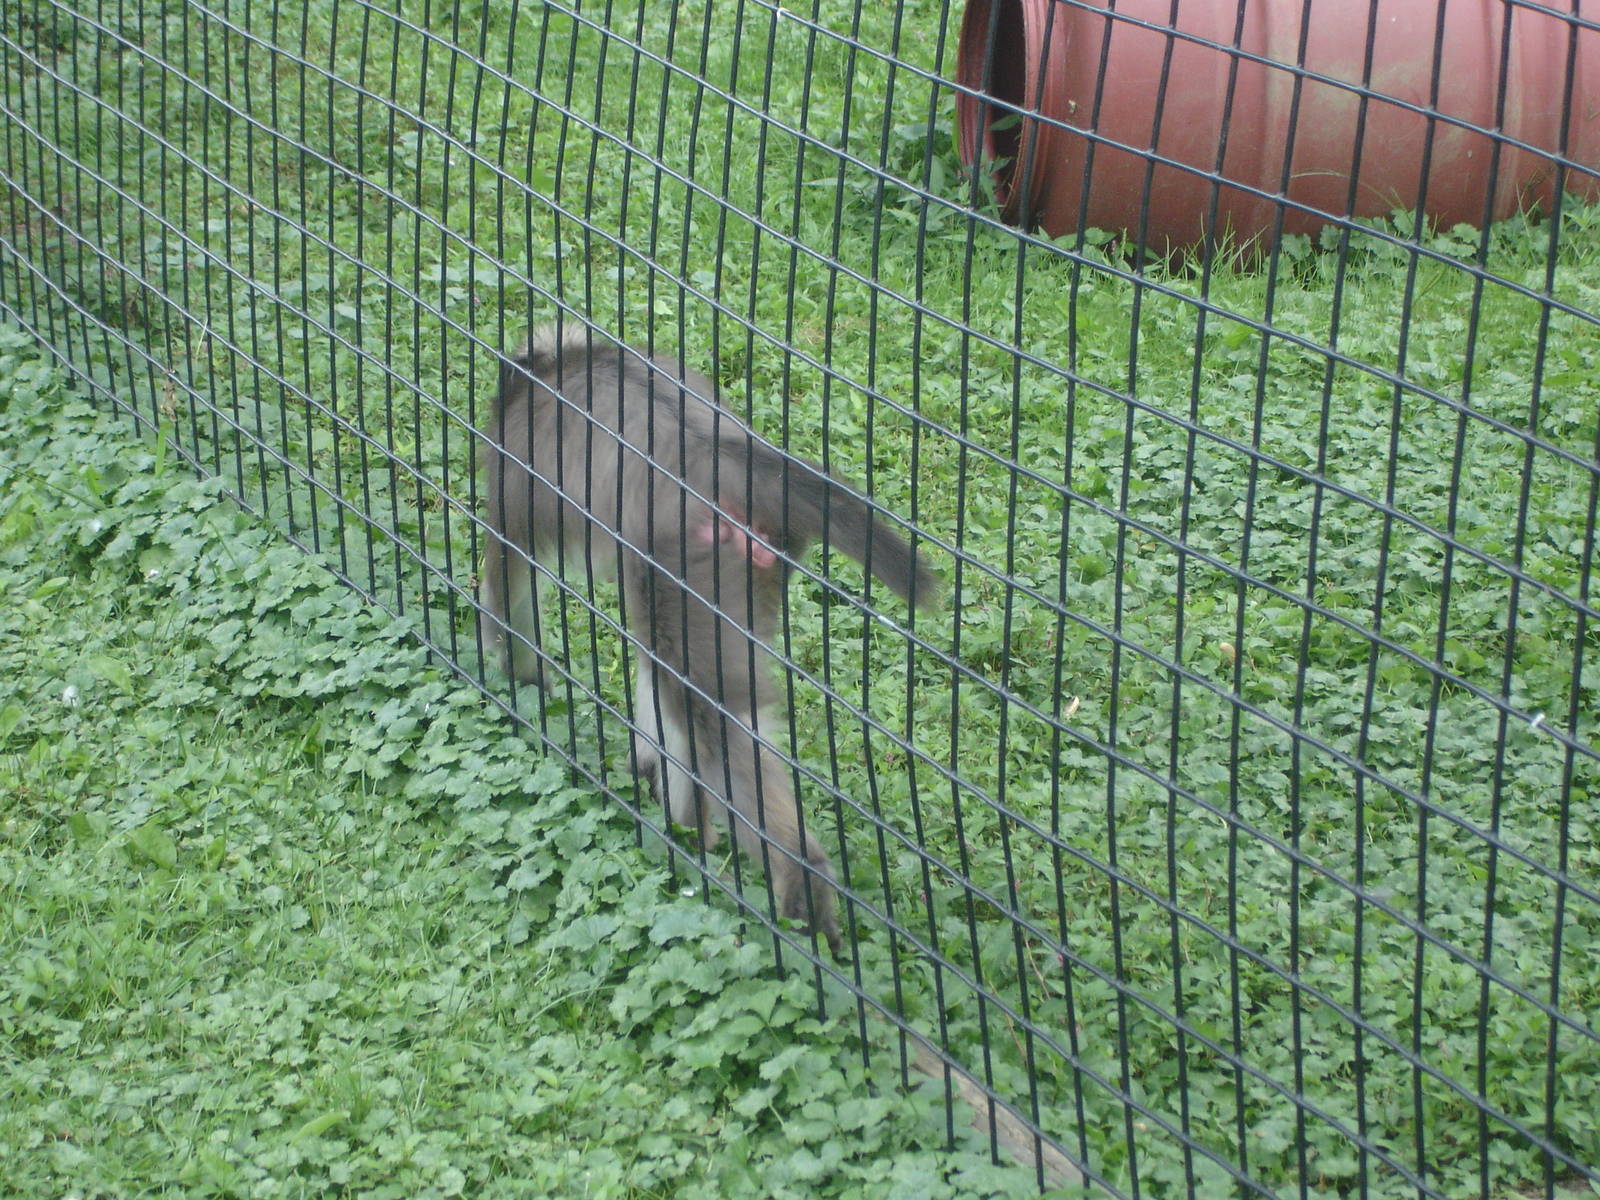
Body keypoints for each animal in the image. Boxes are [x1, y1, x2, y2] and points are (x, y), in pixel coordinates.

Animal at [478, 323, 937, 954]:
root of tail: (724, 457)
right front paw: (649, 768)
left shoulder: (513, 465)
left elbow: (511, 585)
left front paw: (520, 682)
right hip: (742, 571)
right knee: (697, 694)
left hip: (691, 561)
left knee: (702, 713)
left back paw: (794, 884)